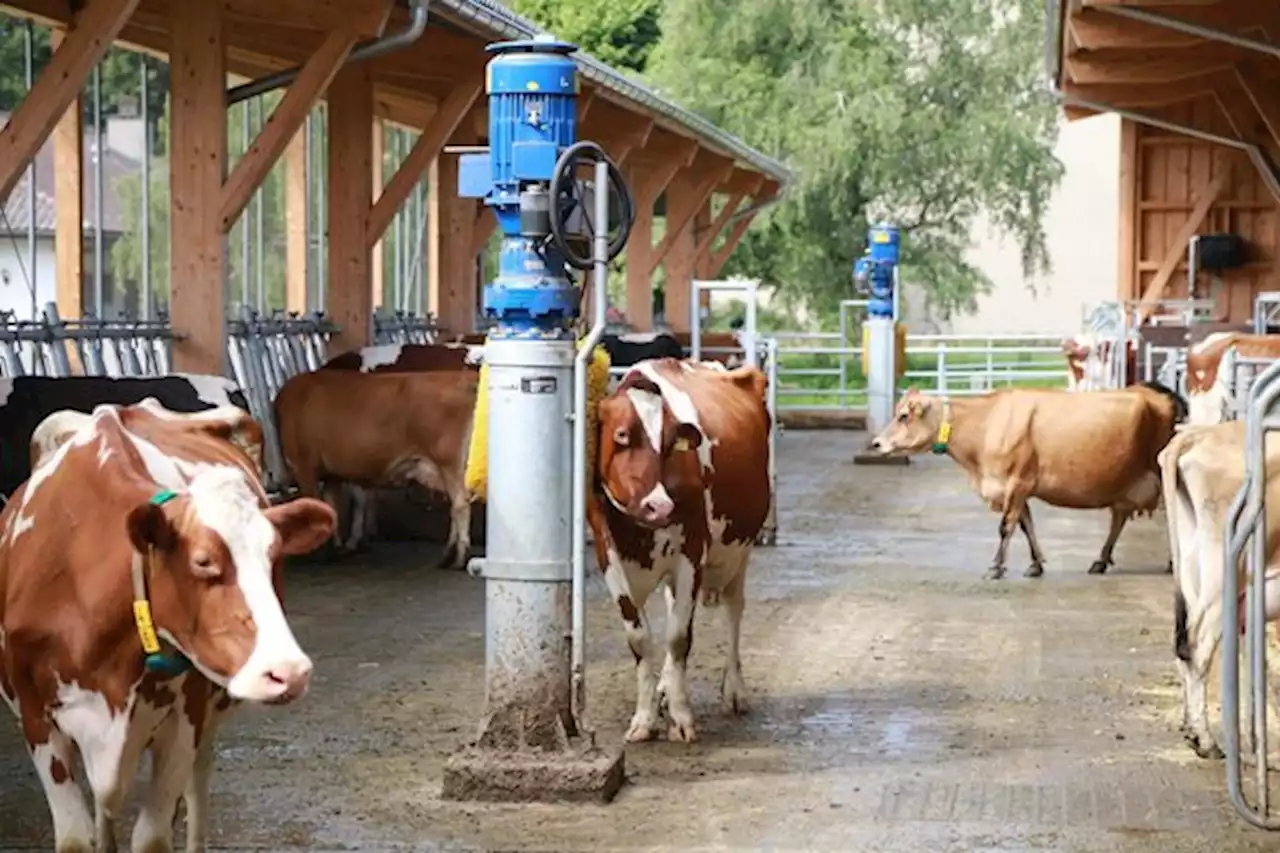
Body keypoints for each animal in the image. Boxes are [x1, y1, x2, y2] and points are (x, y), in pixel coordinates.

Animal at [0, 399, 335, 850]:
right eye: (203, 561)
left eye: (274, 558)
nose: (290, 672)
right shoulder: (34, 716)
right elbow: (76, 837)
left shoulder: (185, 717)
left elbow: (153, 836)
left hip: (208, 717)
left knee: (197, 786)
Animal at [272, 368, 478, 568]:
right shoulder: (332, 474)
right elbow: (331, 508)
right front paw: (335, 549)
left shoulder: (303, 465)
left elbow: (314, 505)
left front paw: (319, 553)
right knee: (455, 504)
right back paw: (448, 555)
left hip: (448, 462)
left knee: (460, 503)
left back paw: (460, 557)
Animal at [588, 356, 768, 742]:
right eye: (621, 436)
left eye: (671, 443)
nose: (659, 506)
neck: (638, 534)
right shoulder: (607, 554)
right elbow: (640, 637)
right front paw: (644, 717)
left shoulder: (692, 552)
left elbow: (678, 636)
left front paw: (682, 716)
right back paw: (664, 690)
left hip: (739, 553)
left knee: (734, 609)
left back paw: (734, 690)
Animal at [865, 384, 1182, 578]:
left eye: (903, 416)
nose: (877, 443)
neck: (986, 424)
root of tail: (1154, 393)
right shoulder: (1017, 489)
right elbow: (1026, 524)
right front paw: (1035, 564)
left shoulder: (1017, 483)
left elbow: (1006, 527)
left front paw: (996, 567)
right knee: (1119, 517)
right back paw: (1100, 560)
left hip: (1159, 474)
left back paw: (1170, 562)